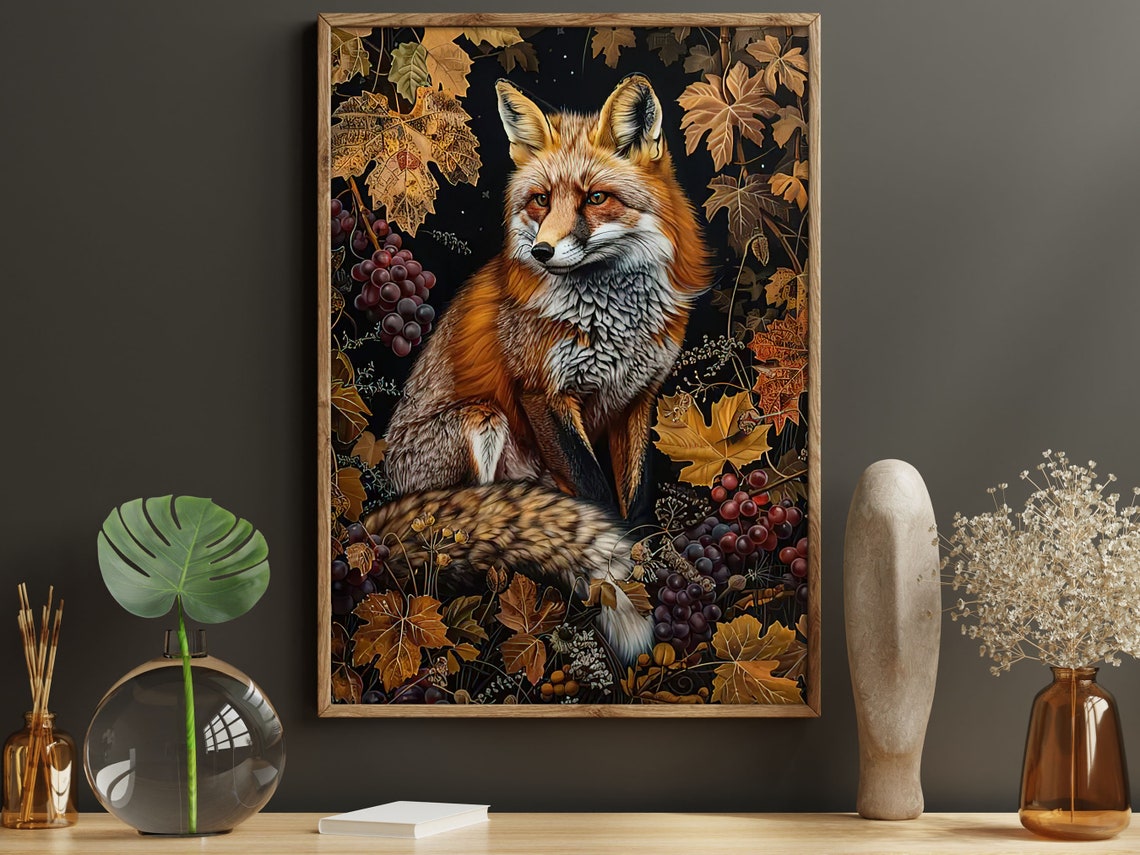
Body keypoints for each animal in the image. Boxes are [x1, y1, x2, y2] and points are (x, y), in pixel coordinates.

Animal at [365, 74, 711, 665]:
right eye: (541, 199)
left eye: (596, 198)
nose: (545, 251)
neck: (612, 321)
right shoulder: (542, 393)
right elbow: (596, 494)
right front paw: (619, 574)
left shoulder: (638, 398)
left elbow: (636, 495)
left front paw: (647, 562)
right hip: (481, 421)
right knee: (460, 532)